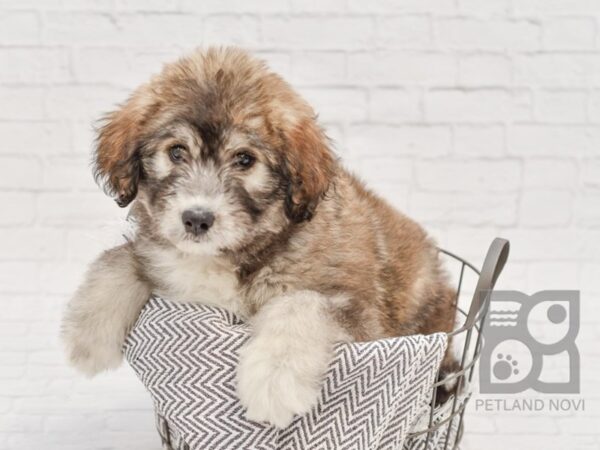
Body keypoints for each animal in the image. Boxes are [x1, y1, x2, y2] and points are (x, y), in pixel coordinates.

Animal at [61, 46, 458, 428]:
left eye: (244, 160)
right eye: (176, 152)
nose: (196, 219)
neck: (234, 254)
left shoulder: (364, 316)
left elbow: (302, 302)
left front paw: (275, 375)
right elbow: (124, 255)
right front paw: (87, 331)